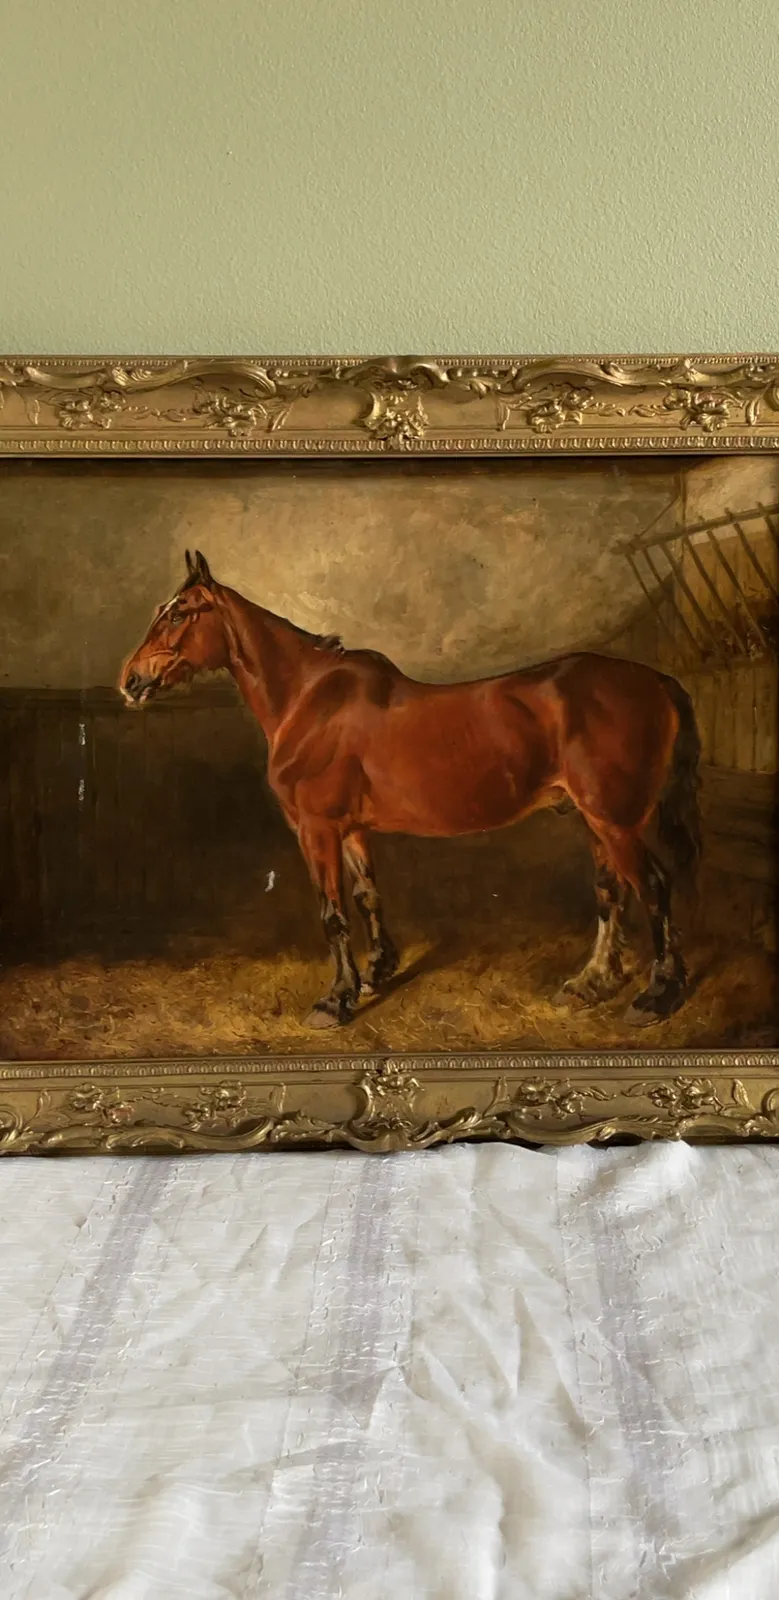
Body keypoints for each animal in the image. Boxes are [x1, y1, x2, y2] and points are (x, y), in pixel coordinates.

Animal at [119, 549, 702, 1030]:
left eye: (178, 613)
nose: (130, 681)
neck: (308, 699)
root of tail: (655, 681)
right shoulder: (351, 829)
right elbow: (367, 895)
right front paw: (378, 971)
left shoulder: (316, 830)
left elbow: (332, 915)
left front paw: (334, 1001)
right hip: (594, 819)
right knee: (610, 892)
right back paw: (590, 984)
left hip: (615, 820)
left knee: (653, 887)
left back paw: (657, 996)